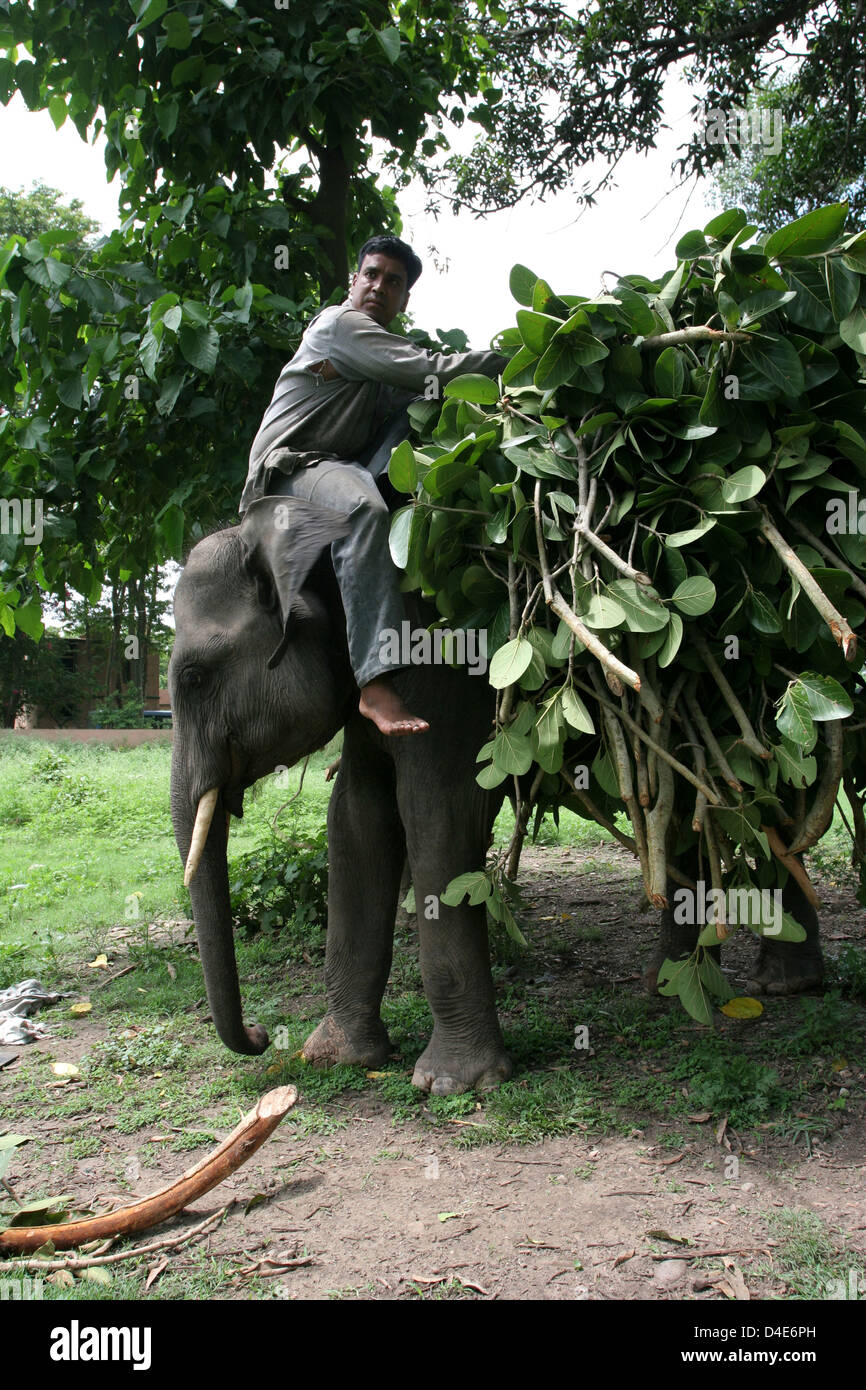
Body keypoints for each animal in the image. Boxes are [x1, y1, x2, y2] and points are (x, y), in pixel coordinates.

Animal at [166, 494, 511, 1089]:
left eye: (193, 677)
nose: (259, 1033)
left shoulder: (442, 663)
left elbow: (438, 813)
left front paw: (452, 1083)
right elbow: (355, 815)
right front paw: (336, 1056)